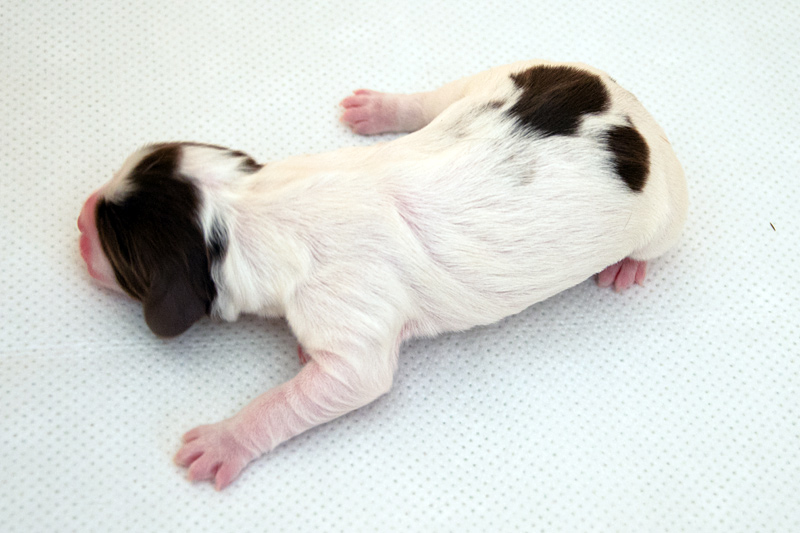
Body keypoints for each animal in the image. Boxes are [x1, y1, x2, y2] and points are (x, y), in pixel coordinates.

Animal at [76, 60, 688, 488]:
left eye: (117, 246)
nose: (79, 219)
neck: (250, 205)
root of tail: (630, 108)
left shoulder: (347, 315)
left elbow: (331, 384)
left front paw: (225, 440)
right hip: (498, 76)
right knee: (440, 98)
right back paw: (381, 109)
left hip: (667, 214)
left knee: (659, 240)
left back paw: (627, 267)